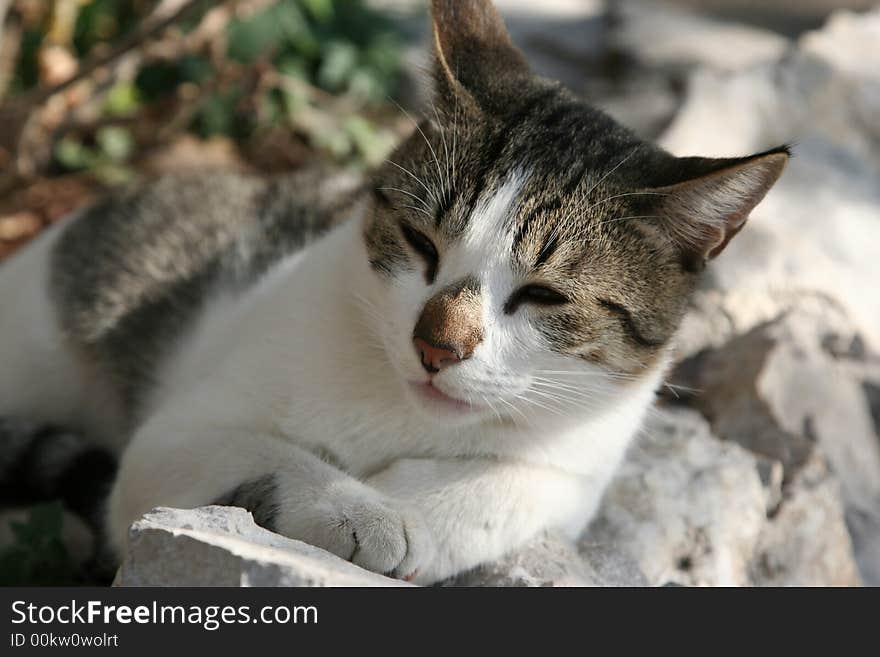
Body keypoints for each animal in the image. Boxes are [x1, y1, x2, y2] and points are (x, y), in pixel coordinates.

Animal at [0, 0, 792, 584]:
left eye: (543, 297)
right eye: (420, 243)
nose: (435, 346)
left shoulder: (575, 471)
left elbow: (495, 491)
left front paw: (408, 506)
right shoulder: (170, 438)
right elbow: (270, 454)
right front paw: (364, 513)